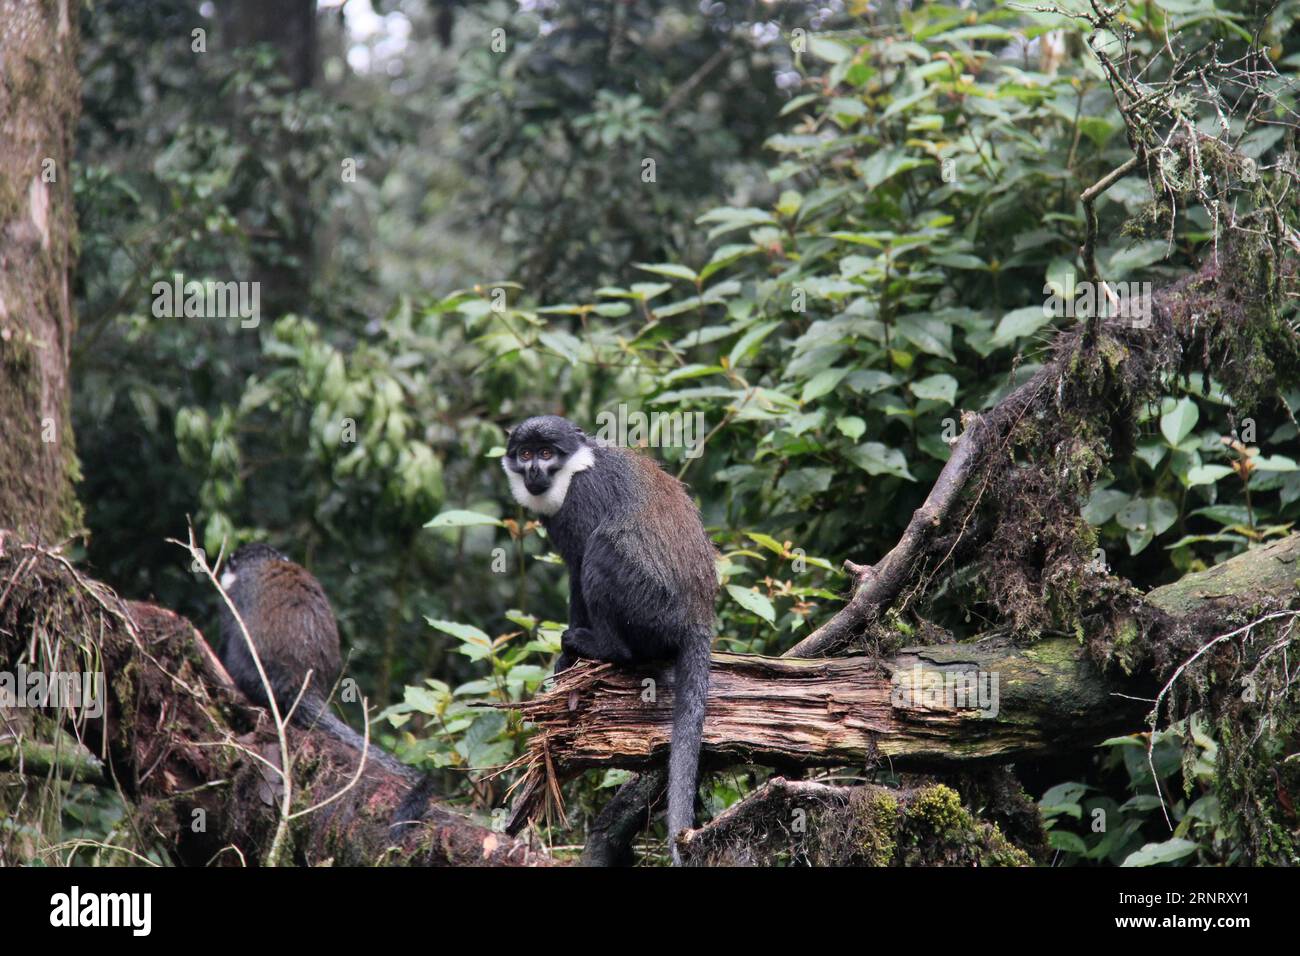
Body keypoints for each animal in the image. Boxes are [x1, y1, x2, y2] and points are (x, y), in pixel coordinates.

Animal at [501, 416, 717, 863]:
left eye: (546, 453)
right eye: (526, 454)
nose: (534, 471)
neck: (575, 468)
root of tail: (698, 616)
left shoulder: (581, 500)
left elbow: (580, 560)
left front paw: (570, 657)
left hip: (652, 607)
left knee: (604, 546)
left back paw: (606, 648)